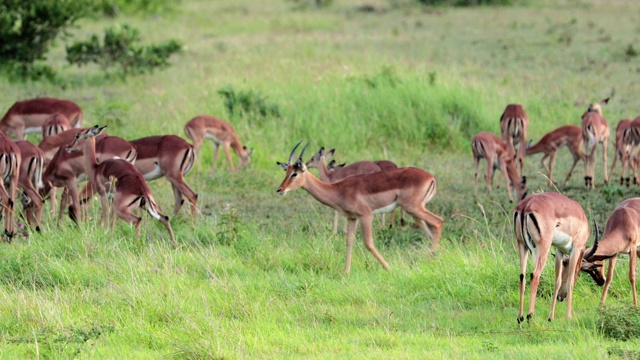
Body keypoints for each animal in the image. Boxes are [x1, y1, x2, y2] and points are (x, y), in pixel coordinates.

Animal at [276, 143, 444, 272]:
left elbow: (368, 243)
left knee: (438, 222)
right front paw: (346, 272)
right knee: (431, 231)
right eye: (286, 172)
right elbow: (349, 241)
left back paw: (431, 259)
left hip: (414, 208)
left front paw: (389, 268)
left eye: (295, 174)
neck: (338, 189)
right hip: (415, 212)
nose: (280, 189)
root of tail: (431, 177)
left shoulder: (366, 215)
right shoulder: (352, 218)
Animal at [512, 193, 592, 322]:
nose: (561, 297)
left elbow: (557, 281)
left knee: (522, 276)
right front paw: (568, 317)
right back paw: (530, 316)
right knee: (534, 276)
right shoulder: (576, 249)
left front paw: (551, 317)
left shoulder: (559, 251)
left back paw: (520, 318)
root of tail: (526, 205)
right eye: (578, 276)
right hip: (543, 248)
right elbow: (570, 280)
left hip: (522, 245)